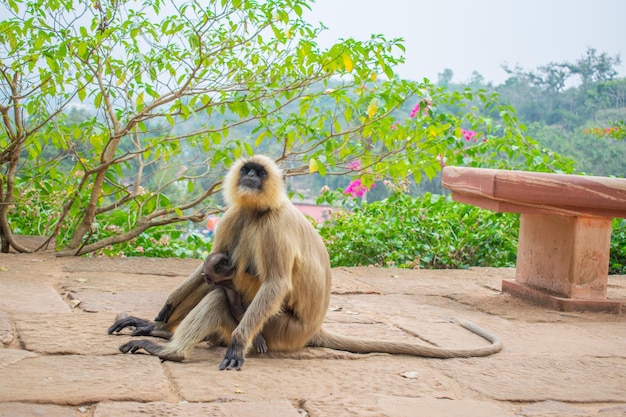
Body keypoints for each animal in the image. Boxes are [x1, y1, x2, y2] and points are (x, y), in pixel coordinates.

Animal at [106, 154, 498, 368]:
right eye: (247, 170)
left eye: (260, 173)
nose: (250, 177)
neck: (260, 210)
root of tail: (312, 330)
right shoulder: (235, 215)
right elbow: (206, 266)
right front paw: (161, 312)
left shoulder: (274, 227)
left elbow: (275, 282)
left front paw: (236, 346)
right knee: (212, 278)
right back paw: (158, 330)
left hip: (279, 331)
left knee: (221, 292)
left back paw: (172, 351)